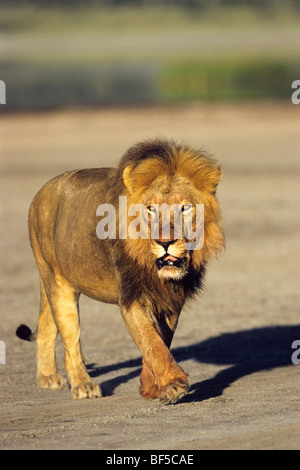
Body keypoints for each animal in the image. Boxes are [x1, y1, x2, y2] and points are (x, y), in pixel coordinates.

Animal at [15, 137, 223, 404]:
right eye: (150, 209)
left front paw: (151, 388)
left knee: (46, 325)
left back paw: (47, 377)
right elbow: (150, 340)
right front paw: (173, 385)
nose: (165, 242)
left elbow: (159, 342)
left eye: (185, 208)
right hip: (58, 282)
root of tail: (41, 191)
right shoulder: (131, 297)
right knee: (70, 340)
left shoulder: (170, 302)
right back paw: (82, 385)